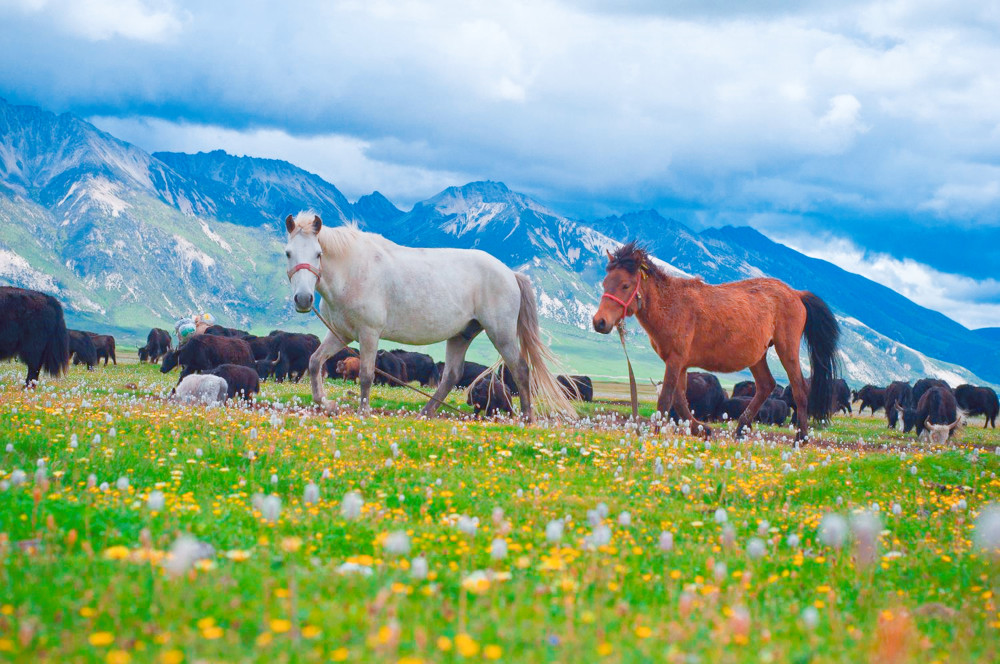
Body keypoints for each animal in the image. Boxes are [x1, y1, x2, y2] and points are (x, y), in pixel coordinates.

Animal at [286, 213, 576, 420]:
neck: (352, 271)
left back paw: (527, 418)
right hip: (462, 335)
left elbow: (367, 374)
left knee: (521, 369)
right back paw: (425, 413)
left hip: (501, 333)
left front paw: (363, 412)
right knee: (452, 376)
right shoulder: (341, 334)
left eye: (318, 254)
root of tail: (510, 273)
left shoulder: (369, 333)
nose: (303, 299)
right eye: (288, 253)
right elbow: (315, 362)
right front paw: (328, 405)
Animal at [596, 244, 840, 440]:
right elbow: (680, 400)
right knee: (766, 385)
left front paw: (656, 434)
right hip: (756, 356)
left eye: (625, 285)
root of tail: (796, 293)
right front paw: (701, 429)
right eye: (605, 283)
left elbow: (666, 399)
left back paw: (802, 437)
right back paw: (740, 429)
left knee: (799, 389)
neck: (671, 305)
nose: (599, 322)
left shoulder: (675, 360)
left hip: (786, 348)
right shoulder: (680, 363)